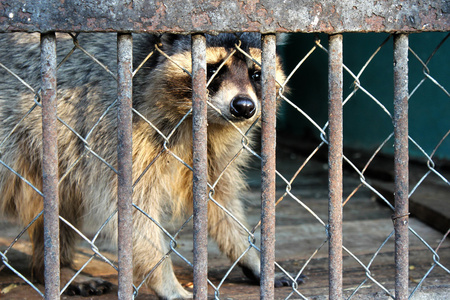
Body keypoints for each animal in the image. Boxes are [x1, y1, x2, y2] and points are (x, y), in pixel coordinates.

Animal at [0, 31, 296, 298]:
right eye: (212, 69)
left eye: (256, 74)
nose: (244, 107)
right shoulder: (118, 126)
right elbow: (130, 208)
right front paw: (165, 280)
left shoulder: (215, 145)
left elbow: (218, 199)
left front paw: (250, 255)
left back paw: (53, 266)